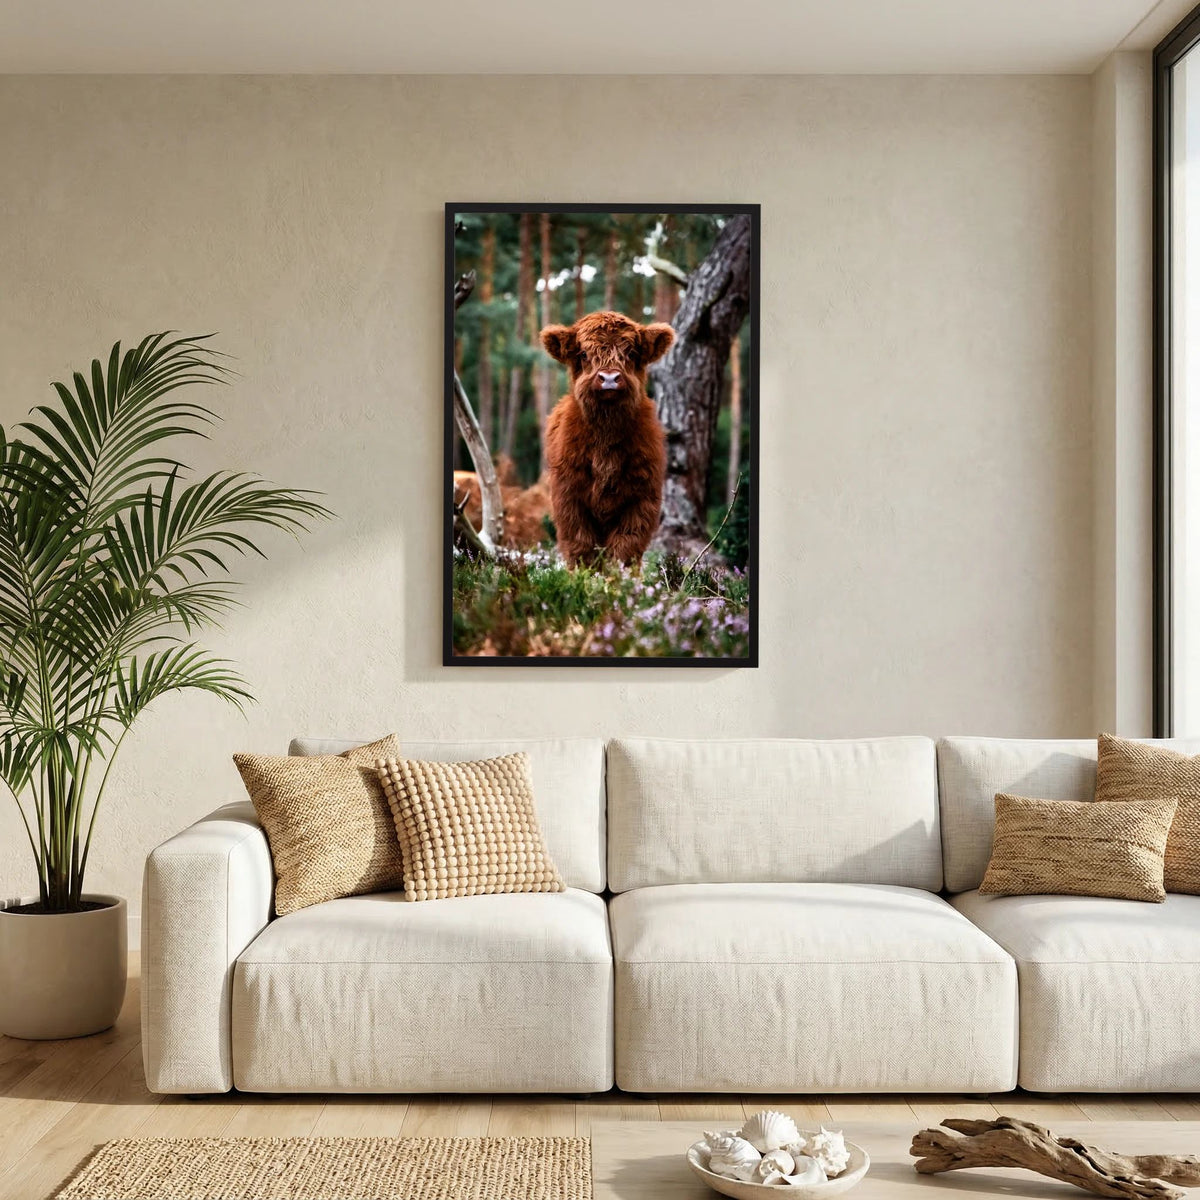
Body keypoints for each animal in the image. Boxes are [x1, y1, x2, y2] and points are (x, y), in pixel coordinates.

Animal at [539, 310, 674, 567]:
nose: (609, 378)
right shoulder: (569, 498)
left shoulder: (642, 500)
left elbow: (625, 547)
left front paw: (620, 577)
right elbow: (580, 545)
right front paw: (582, 575)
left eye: (631, 353)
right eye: (583, 354)